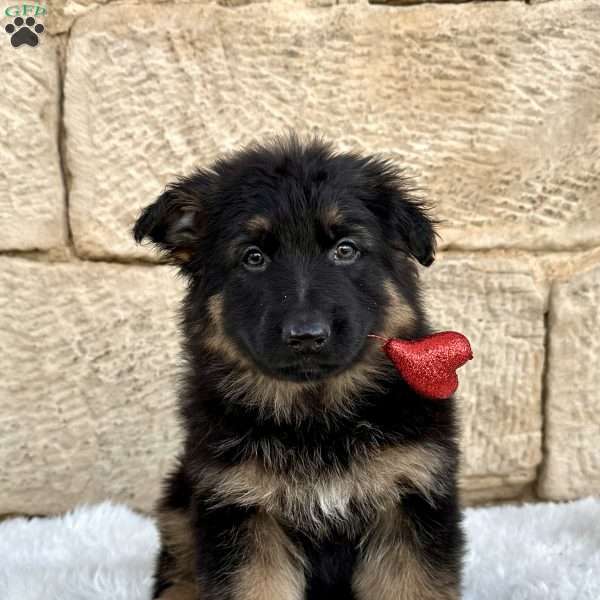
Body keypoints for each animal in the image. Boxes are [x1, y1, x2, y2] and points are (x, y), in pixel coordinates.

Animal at [134, 136, 464, 600]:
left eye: (345, 250)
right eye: (253, 257)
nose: (307, 335)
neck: (316, 420)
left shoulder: (409, 501)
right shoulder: (241, 509)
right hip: (179, 511)